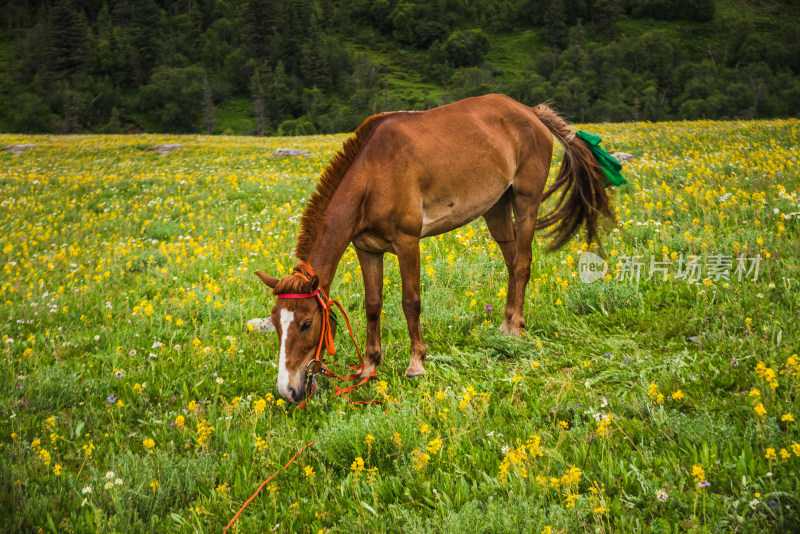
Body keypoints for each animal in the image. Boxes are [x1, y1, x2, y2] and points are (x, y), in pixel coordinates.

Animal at [256, 95, 612, 406]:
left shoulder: (407, 242)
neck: (373, 176)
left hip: (526, 201)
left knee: (523, 263)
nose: (288, 391)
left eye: (306, 324)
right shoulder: (367, 250)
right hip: (496, 207)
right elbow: (373, 305)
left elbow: (410, 302)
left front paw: (416, 364)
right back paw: (507, 324)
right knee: (512, 263)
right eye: (275, 322)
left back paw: (516, 327)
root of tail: (531, 112)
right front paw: (369, 366)